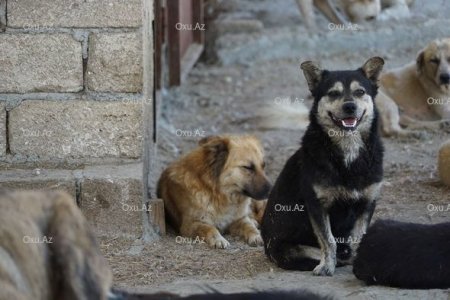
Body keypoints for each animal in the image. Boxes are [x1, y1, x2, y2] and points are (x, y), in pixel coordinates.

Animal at [262, 56, 384, 276]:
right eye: (333, 93)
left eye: (360, 92)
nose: (350, 106)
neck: (347, 150)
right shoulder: (317, 205)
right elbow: (328, 241)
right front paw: (327, 266)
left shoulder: (367, 202)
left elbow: (357, 239)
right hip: (288, 249)